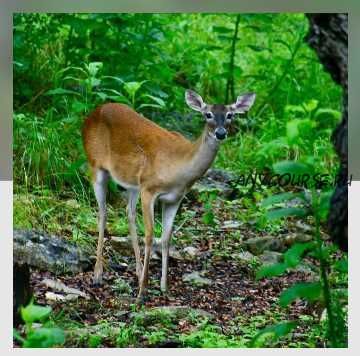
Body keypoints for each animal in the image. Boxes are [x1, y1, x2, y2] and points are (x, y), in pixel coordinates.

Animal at [81, 89, 256, 300]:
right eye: (208, 114)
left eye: (230, 115)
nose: (220, 133)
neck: (178, 169)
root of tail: (91, 114)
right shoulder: (149, 189)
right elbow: (150, 236)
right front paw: (142, 292)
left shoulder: (174, 199)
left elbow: (166, 238)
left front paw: (164, 287)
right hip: (95, 165)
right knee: (103, 213)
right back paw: (98, 274)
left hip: (132, 183)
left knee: (129, 213)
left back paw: (137, 271)